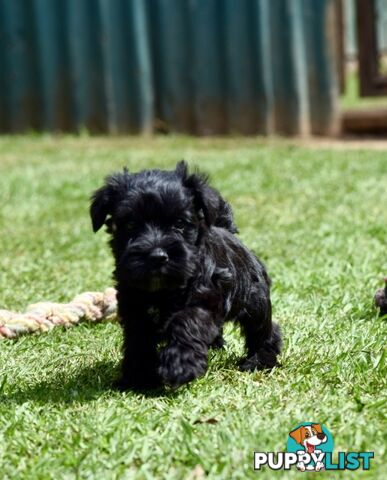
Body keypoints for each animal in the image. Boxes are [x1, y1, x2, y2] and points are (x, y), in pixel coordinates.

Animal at [91, 161, 282, 390]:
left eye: (180, 223)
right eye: (130, 224)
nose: (157, 256)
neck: (161, 290)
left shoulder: (203, 299)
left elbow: (186, 322)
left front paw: (179, 365)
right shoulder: (134, 308)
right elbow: (137, 341)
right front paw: (138, 377)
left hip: (255, 302)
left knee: (264, 331)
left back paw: (260, 361)